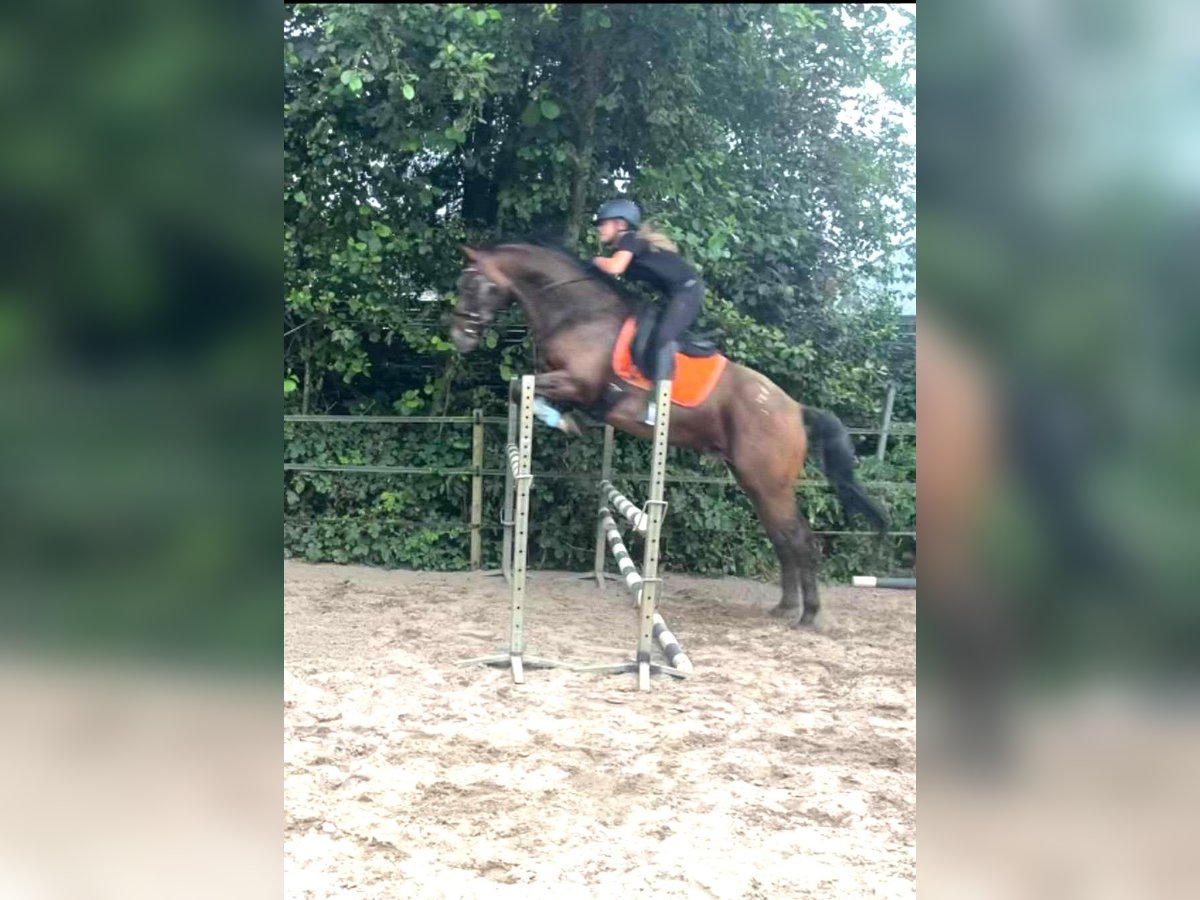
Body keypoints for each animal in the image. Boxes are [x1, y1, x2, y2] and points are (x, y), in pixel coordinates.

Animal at [446, 244, 888, 628]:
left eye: (473, 284)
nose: (459, 338)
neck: (579, 315)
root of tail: (795, 409)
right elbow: (519, 385)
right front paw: (564, 420)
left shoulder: (578, 383)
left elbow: (521, 386)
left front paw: (566, 422)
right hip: (757, 484)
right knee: (783, 538)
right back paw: (785, 607)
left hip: (768, 483)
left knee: (799, 539)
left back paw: (809, 615)